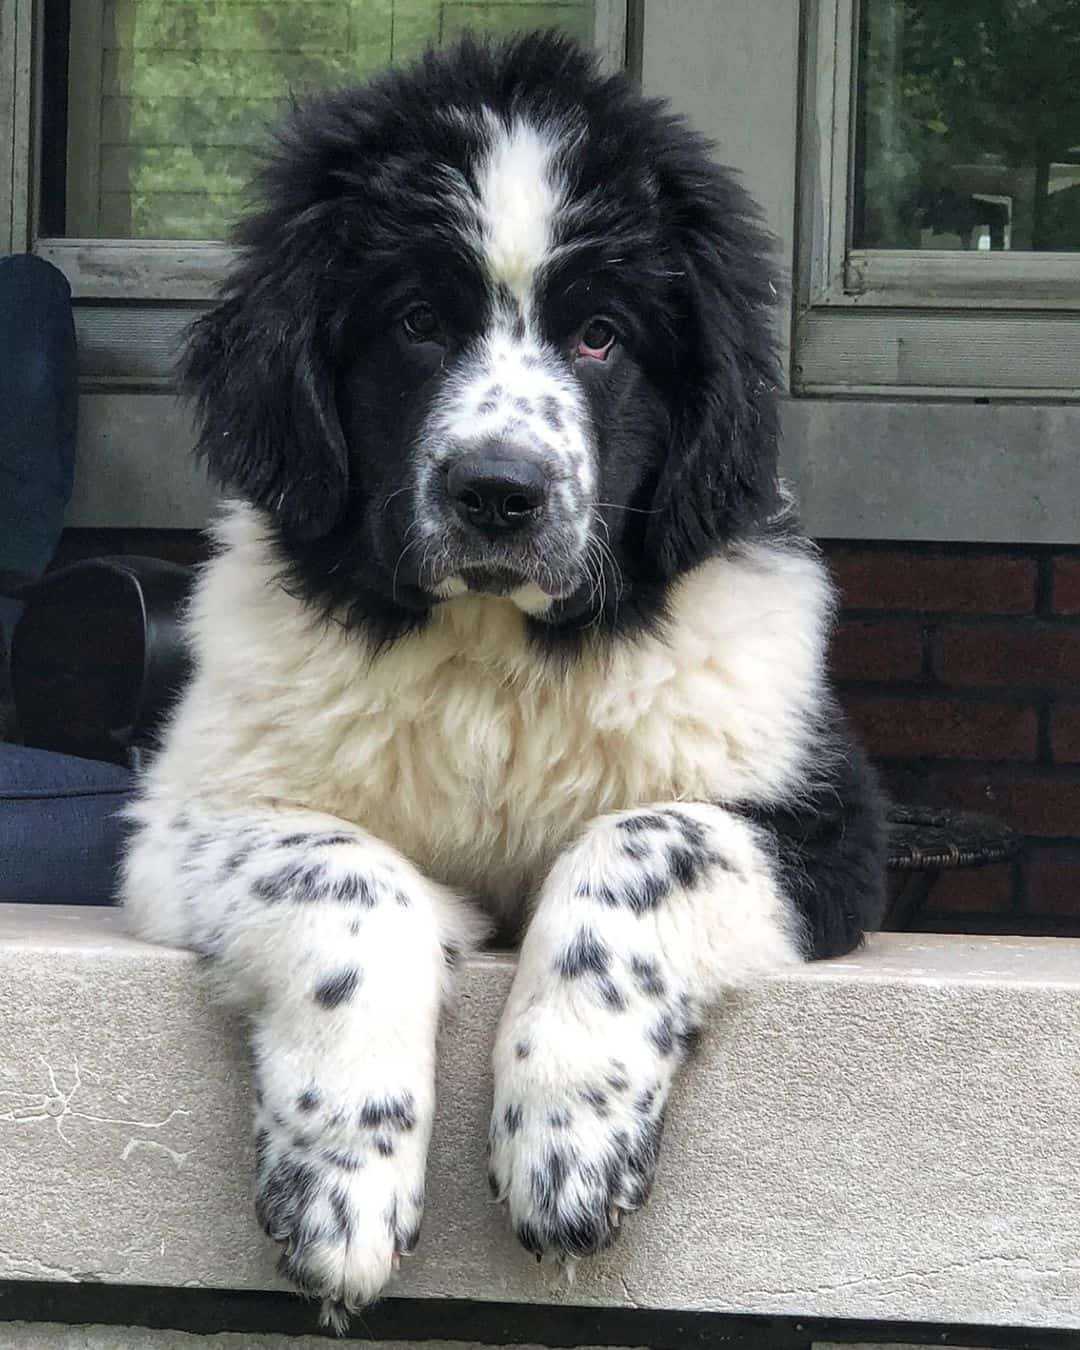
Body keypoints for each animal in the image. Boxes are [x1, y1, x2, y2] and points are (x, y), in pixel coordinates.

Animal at [124, 29, 885, 1328]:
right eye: (419, 321)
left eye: (602, 336)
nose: (498, 491)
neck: (494, 657)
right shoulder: (187, 814)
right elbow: (346, 877)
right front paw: (342, 1183)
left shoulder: (826, 823)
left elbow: (641, 844)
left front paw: (565, 1144)